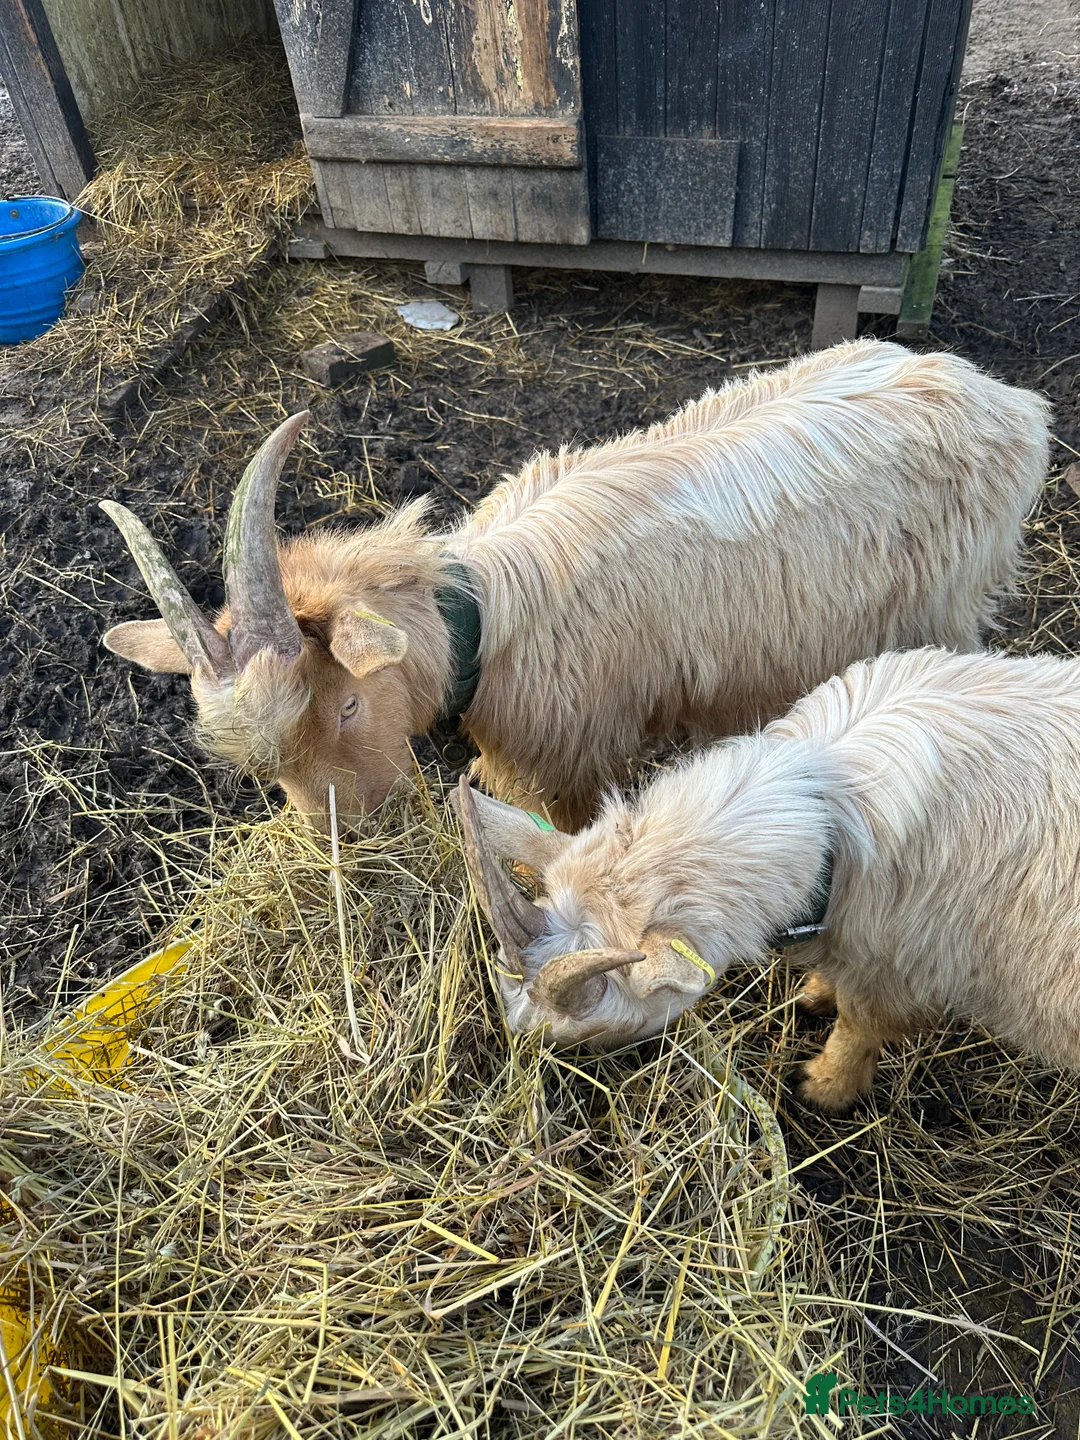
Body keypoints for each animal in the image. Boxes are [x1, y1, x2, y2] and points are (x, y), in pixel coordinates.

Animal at [100, 340, 1048, 831]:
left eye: (348, 707)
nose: (353, 837)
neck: (484, 619)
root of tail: (1008, 401)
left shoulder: (577, 761)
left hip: (947, 600)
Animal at [458, 647, 1080, 1110]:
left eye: (594, 1019)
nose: (528, 1052)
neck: (829, 812)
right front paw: (816, 993)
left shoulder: (903, 964)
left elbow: (860, 1023)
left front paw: (824, 1087)